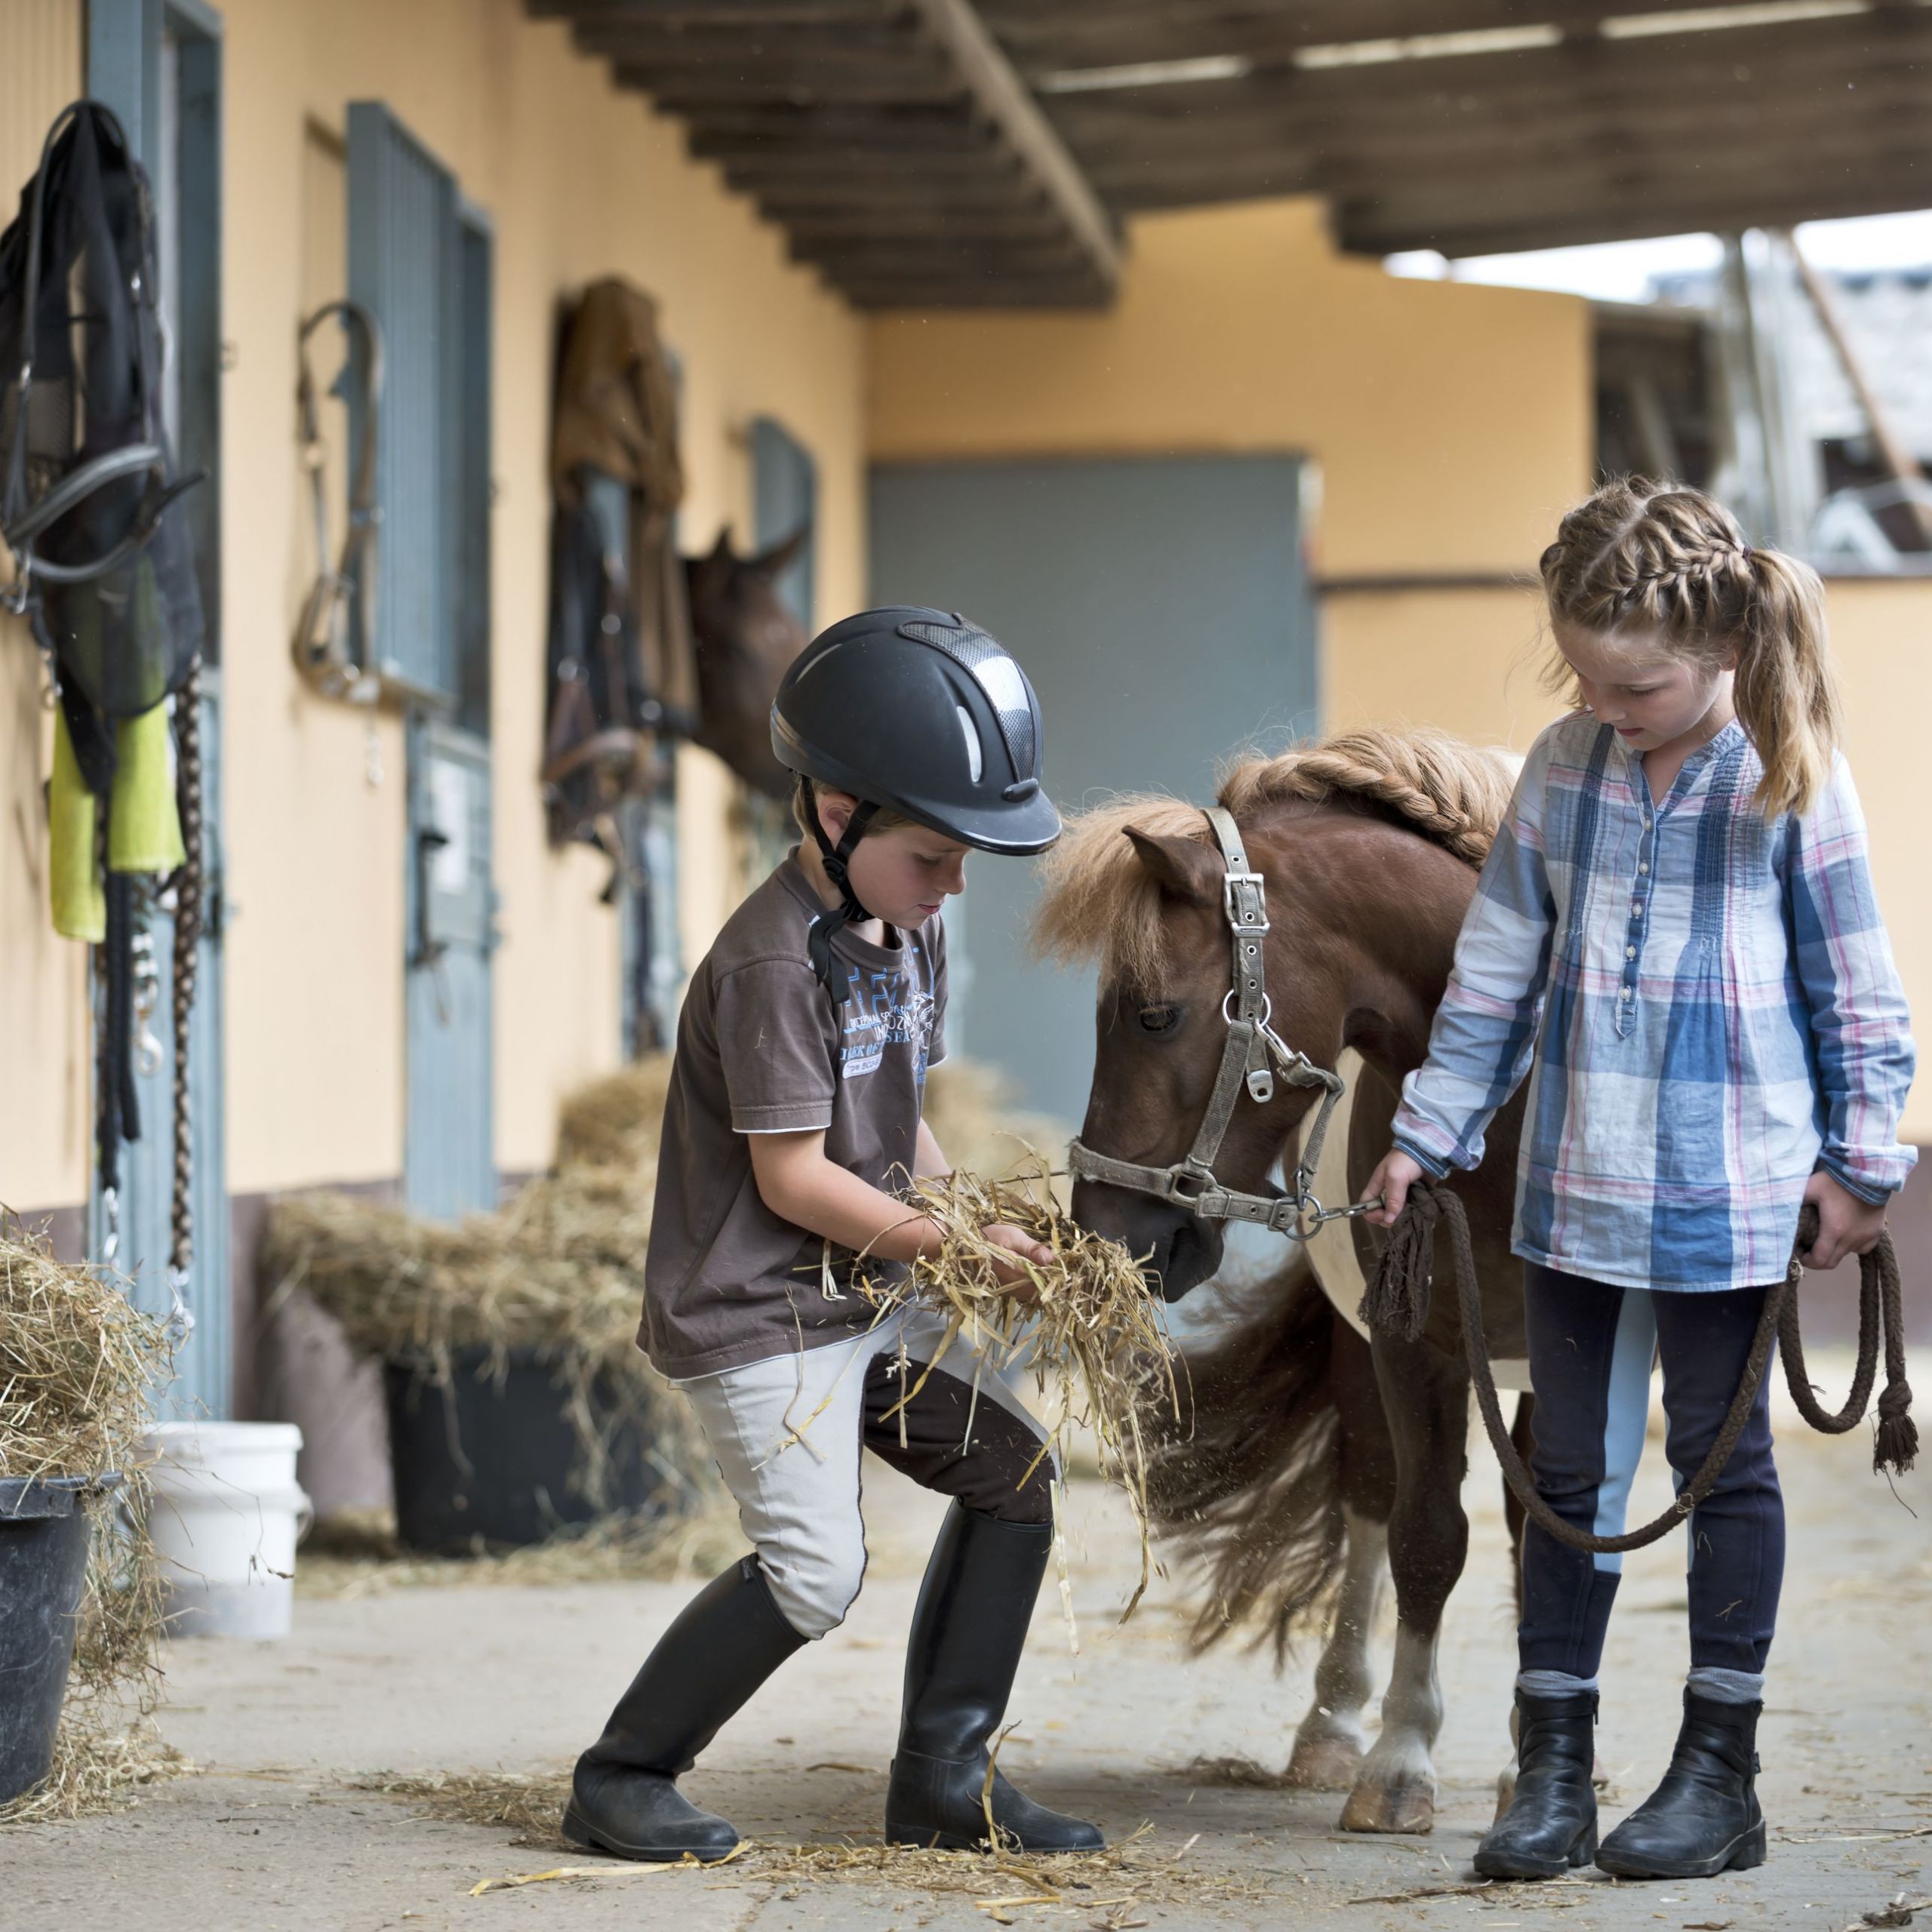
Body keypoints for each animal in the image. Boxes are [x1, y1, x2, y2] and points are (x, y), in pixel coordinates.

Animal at [1043, 726, 1537, 1823]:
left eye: (1152, 1016)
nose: (1107, 1228)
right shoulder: (1408, 1340)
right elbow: (1424, 1533)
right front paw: (1398, 1760)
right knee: (1371, 1497)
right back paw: (1335, 1727)